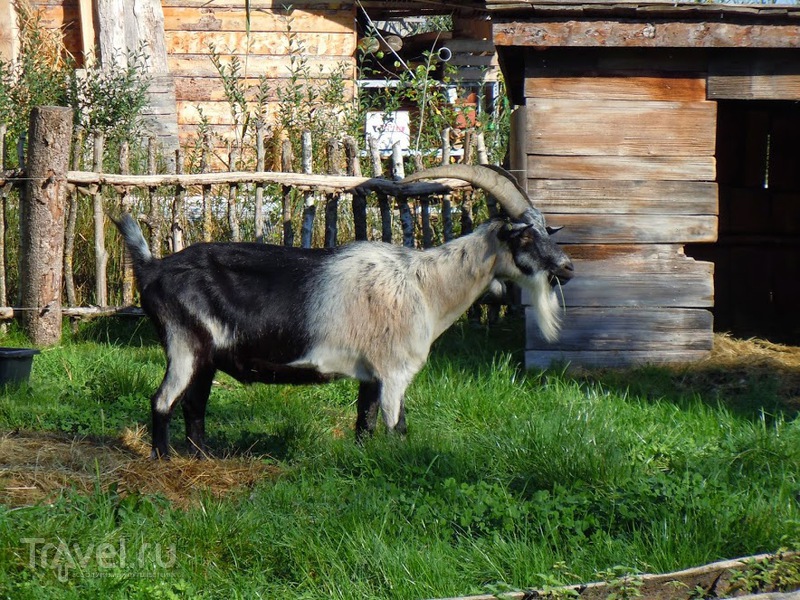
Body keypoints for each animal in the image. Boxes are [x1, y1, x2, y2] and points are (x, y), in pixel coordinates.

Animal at [114, 164, 576, 460]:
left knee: (194, 406)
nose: (568, 268)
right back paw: (163, 460)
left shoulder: (372, 372)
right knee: (163, 400)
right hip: (183, 344)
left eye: (545, 230)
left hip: (205, 357)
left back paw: (204, 458)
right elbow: (397, 426)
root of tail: (152, 267)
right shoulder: (395, 371)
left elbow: (364, 421)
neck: (425, 285)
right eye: (525, 238)